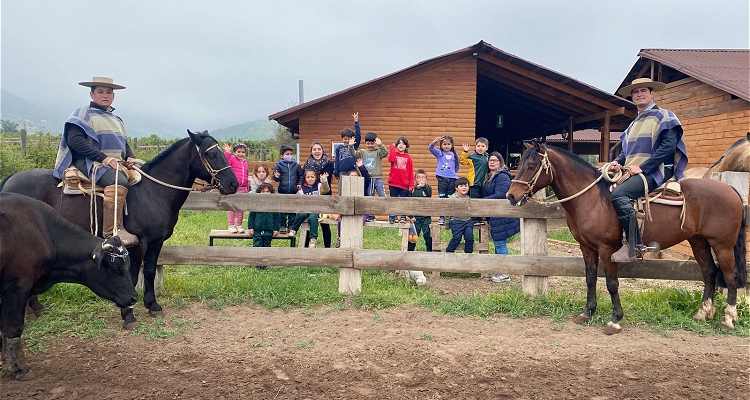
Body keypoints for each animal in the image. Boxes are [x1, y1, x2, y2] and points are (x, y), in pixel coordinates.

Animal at [0, 194, 137, 382]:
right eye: (116, 268)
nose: (133, 297)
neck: (43, 231)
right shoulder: (16, 287)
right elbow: (13, 328)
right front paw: (20, 367)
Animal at [506, 142, 748, 332]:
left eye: (531, 166)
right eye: (519, 164)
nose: (511, 196)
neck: (593, 199)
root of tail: (730, 189)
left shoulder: (607, 249)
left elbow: (612, 283)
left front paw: (615, 319)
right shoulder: (587, 247)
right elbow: (590, 279)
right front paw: (587, 312)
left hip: (723, 245)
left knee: (730, 276)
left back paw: (728, 319)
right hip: (698, 241)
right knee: (709, 272)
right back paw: (703, 313)